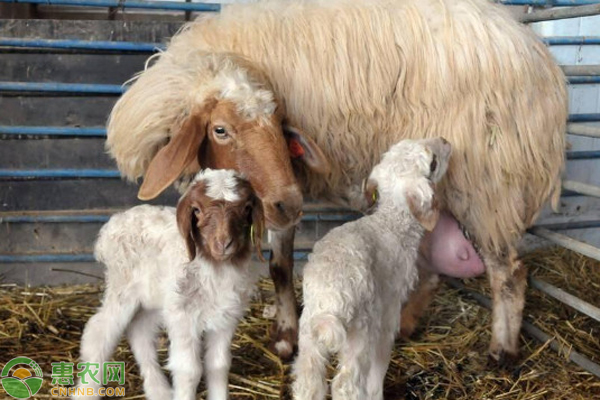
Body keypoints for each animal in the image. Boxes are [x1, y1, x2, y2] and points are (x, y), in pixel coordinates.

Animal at [74, 168, 264, 400]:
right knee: (99, 333)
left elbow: (218, 365)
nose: (223, 243)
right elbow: (189, 370)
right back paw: (86, 392)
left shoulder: (226, 318)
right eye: (197, 210)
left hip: (153, 298)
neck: (215, 268)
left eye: (246, 208)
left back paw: (159, 391)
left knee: (140, 333)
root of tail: (113, 224)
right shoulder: (183, 316)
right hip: (122, 287)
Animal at [106, 0, 568, 362]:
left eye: (280, 122)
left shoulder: (283, 186)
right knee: (432, 270)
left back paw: (501, 351)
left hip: (490, 185)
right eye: (220, 130)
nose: (291, 202)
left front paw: (287, 337)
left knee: (508, 273)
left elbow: (279, 265)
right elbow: (277, 266)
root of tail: (541, 61)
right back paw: (405, 325)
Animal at [292, 136, 452, 398]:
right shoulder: (389, 308)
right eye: (433, 162)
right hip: (361, 328)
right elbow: (380, 363)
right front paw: (377, 392)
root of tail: (331, 296)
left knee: (308, 381)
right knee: (346, 384)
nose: (445, 141)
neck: (391, 223)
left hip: (309, 328)